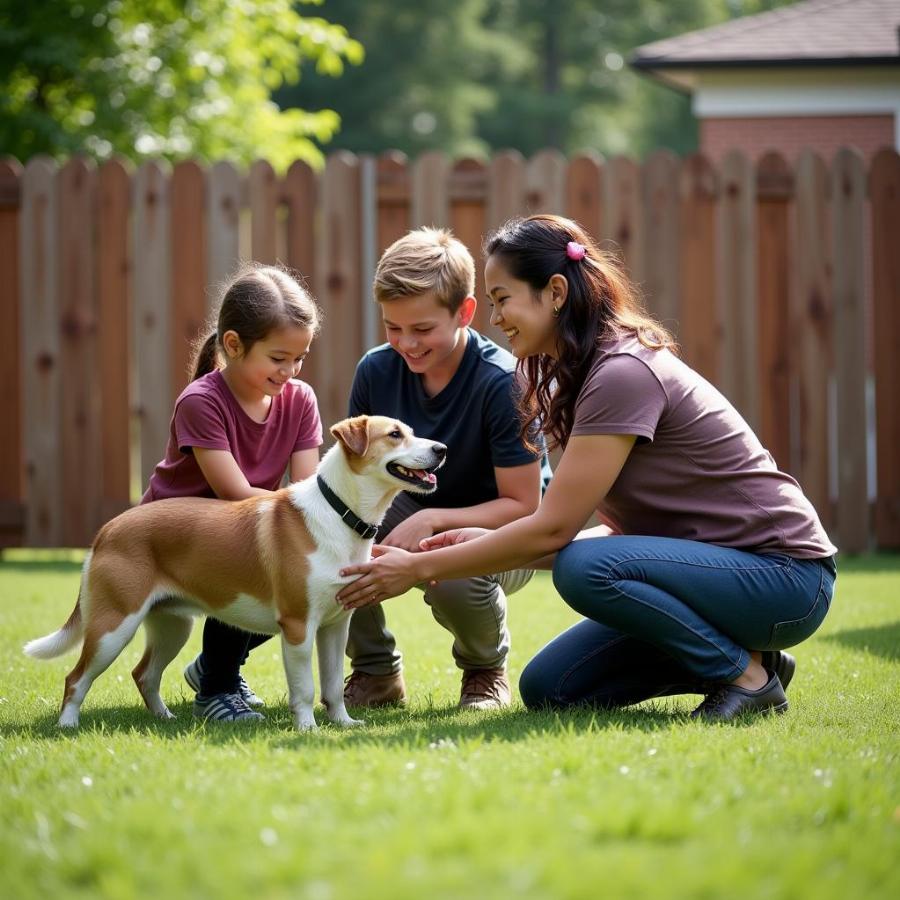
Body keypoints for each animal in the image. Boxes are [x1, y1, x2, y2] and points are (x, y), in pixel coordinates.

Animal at [20, 416, 442, 732]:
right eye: (394, 434)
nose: (442, 450)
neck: (340, 514)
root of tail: (107, 530)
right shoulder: (298, 626)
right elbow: (306, 688)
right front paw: (307, 728)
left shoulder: (336, 625)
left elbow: (334, 684)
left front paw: (342, 722)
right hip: (114, 627)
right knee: (76, 678)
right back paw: (68, 725)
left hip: (173, 626)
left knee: (144, 674)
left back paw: (163, 717)